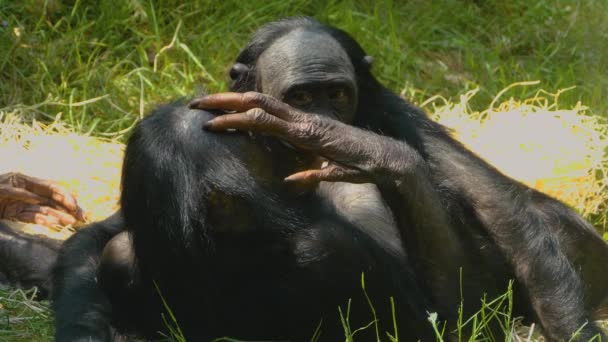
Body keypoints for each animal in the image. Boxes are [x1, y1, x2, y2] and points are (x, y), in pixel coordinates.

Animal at [48, 15, 608, 340]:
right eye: (300, 95)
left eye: (335, 94)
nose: (318, 116)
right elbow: (95, 237)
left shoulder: (391, 109)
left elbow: (499, 209)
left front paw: (348, 144)